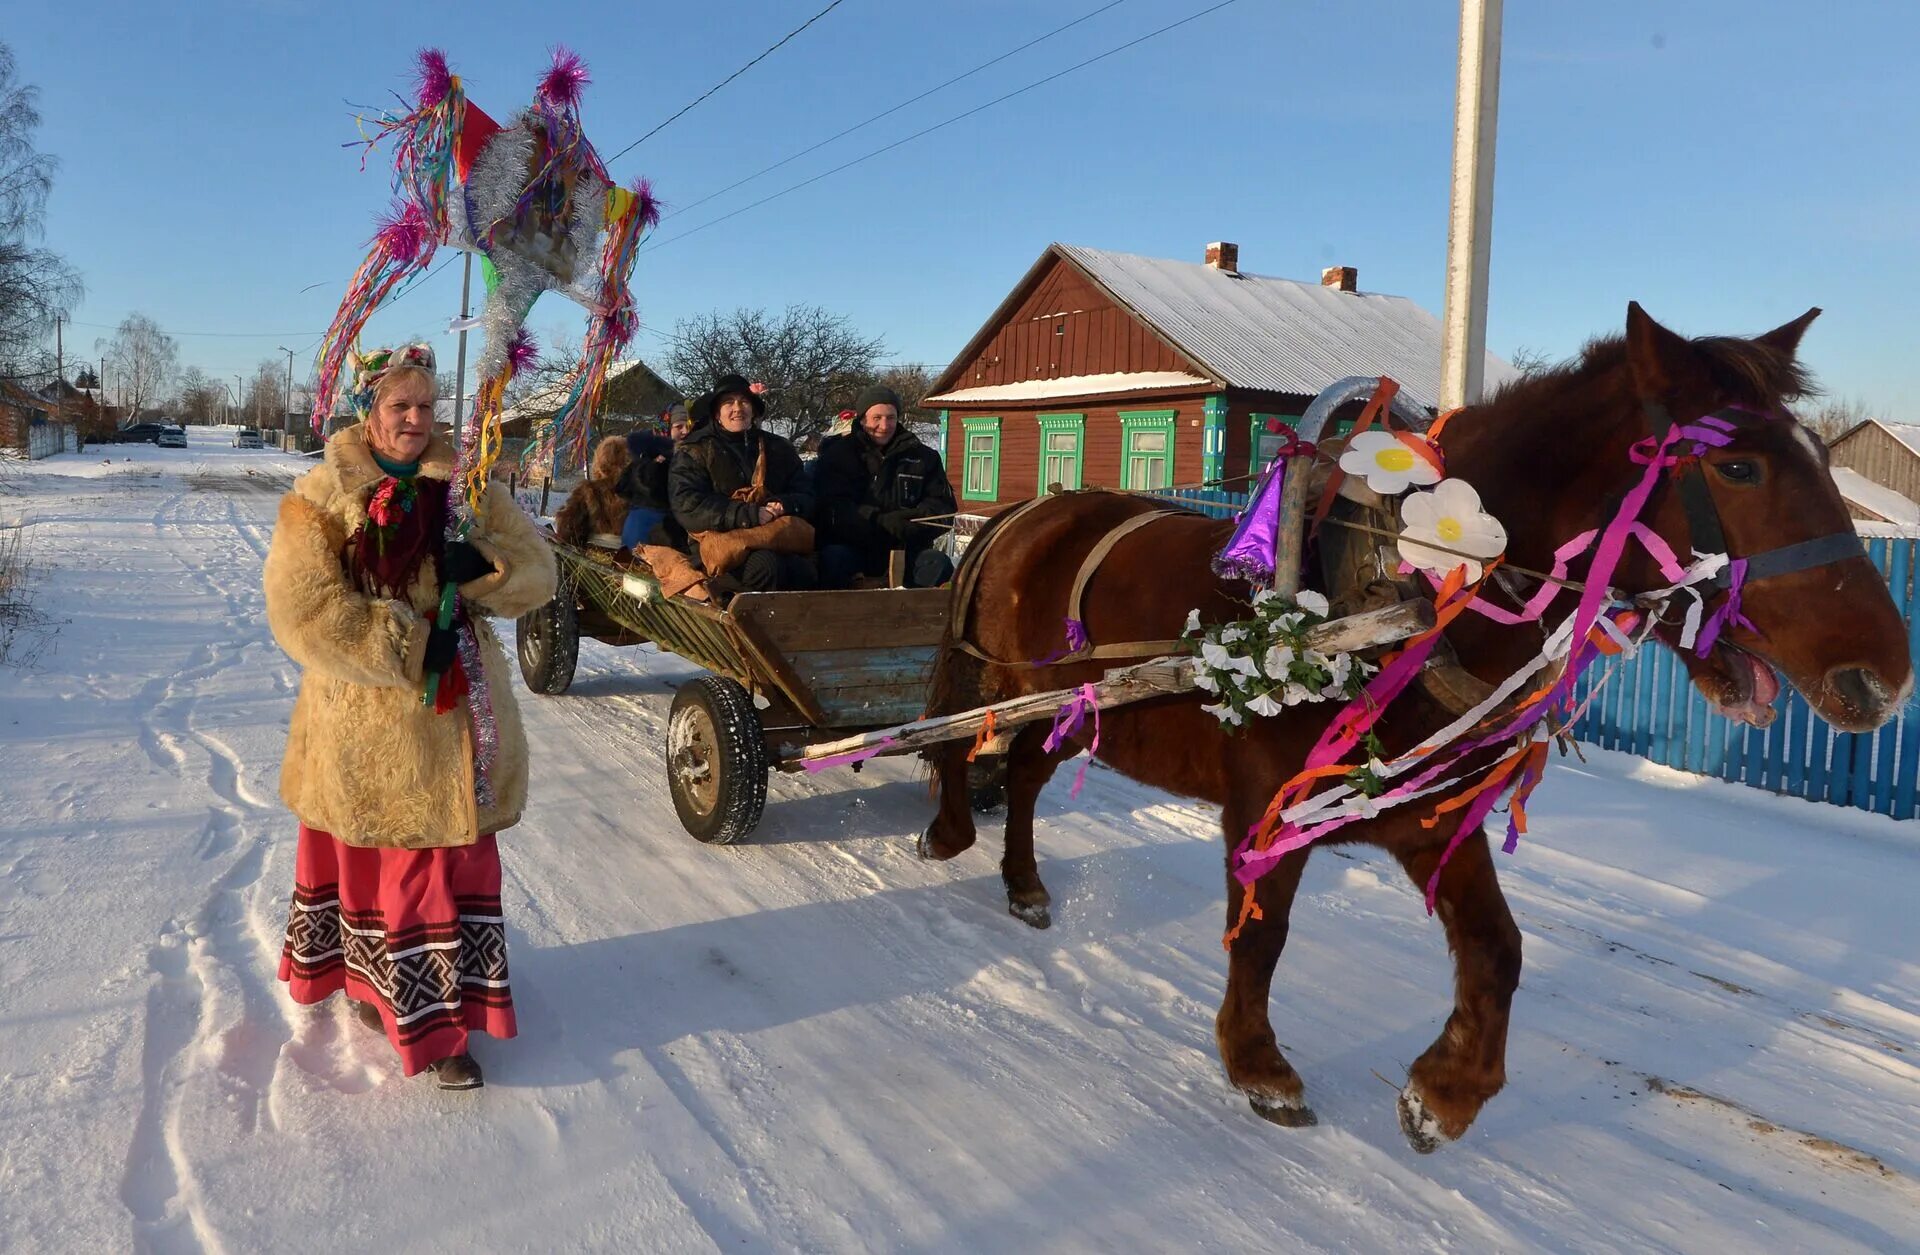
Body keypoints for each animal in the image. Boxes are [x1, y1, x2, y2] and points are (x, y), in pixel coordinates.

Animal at [921, 305, 1912, 1151]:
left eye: (1820, 459)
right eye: (1739, 467)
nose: (1884, 676)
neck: (1404, 590)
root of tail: (1029, 508)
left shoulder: (1433, 811)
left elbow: (1499, 949)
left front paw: (1446, 1092)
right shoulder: (1267, 806)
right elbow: (1262, 931)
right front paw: (1259, 1064)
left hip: (1069, 705)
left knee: (1022, 774)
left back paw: (1023, 883)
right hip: (1005, 679)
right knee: (964, 747)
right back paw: (952, 830)